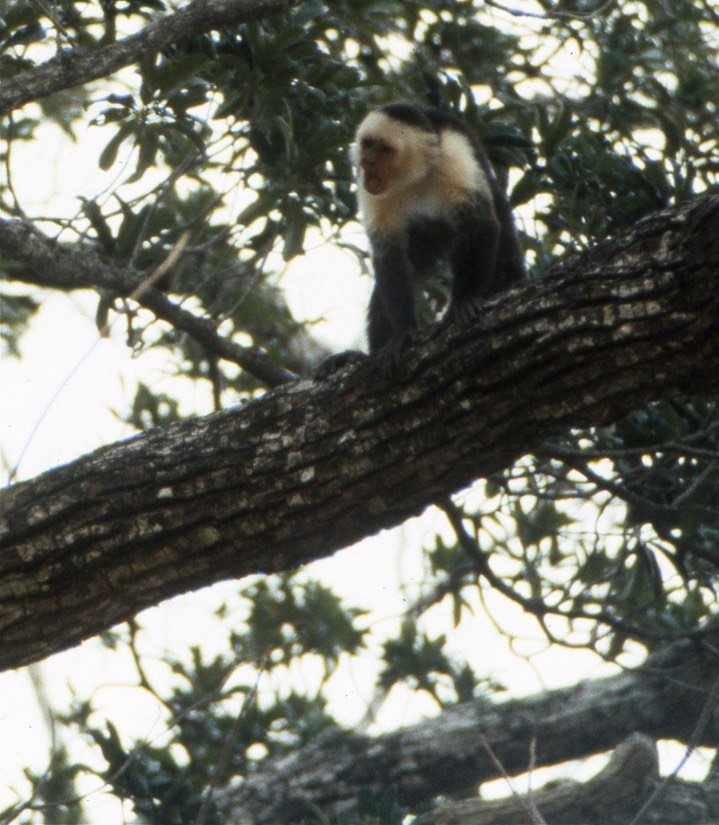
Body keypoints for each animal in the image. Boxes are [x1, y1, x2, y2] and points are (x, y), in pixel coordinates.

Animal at [318, 101, 524, 378]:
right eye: (368, 144)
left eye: (384, 149)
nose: (367, 160)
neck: (416, 176)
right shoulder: (370, 186)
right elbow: (389, 255)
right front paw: (402, 334)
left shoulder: (453, 154)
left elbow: (478, 224)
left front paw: (465, 301)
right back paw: (364, 355)